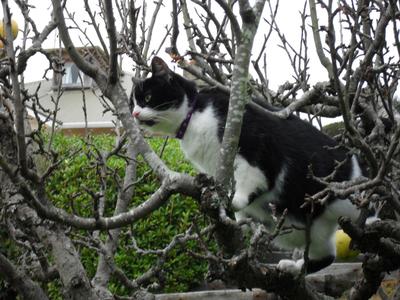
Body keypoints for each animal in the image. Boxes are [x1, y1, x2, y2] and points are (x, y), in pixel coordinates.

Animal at [133, 56, 364, 274]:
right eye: (132, 102)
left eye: (148, 97)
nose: (134, 113)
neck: (193, 117)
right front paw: (236, 215)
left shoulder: (252, 138)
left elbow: (254, 176)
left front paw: (236, 200)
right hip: (309, 230)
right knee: (326, 255)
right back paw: (293, 267)